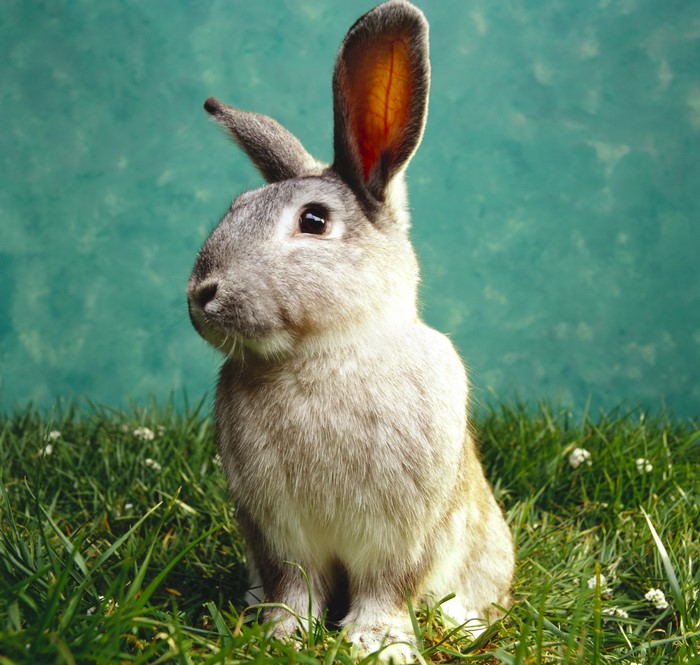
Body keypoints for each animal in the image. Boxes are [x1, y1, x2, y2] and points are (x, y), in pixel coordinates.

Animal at [186, 0, 515, 661]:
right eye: (235, 207)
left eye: (313, 221)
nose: (200, 293)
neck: (326, 352)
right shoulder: (276, 533)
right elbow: (295, 587)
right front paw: (283, 634)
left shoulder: (399, 536)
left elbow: (386, 589)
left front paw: (376, 644)